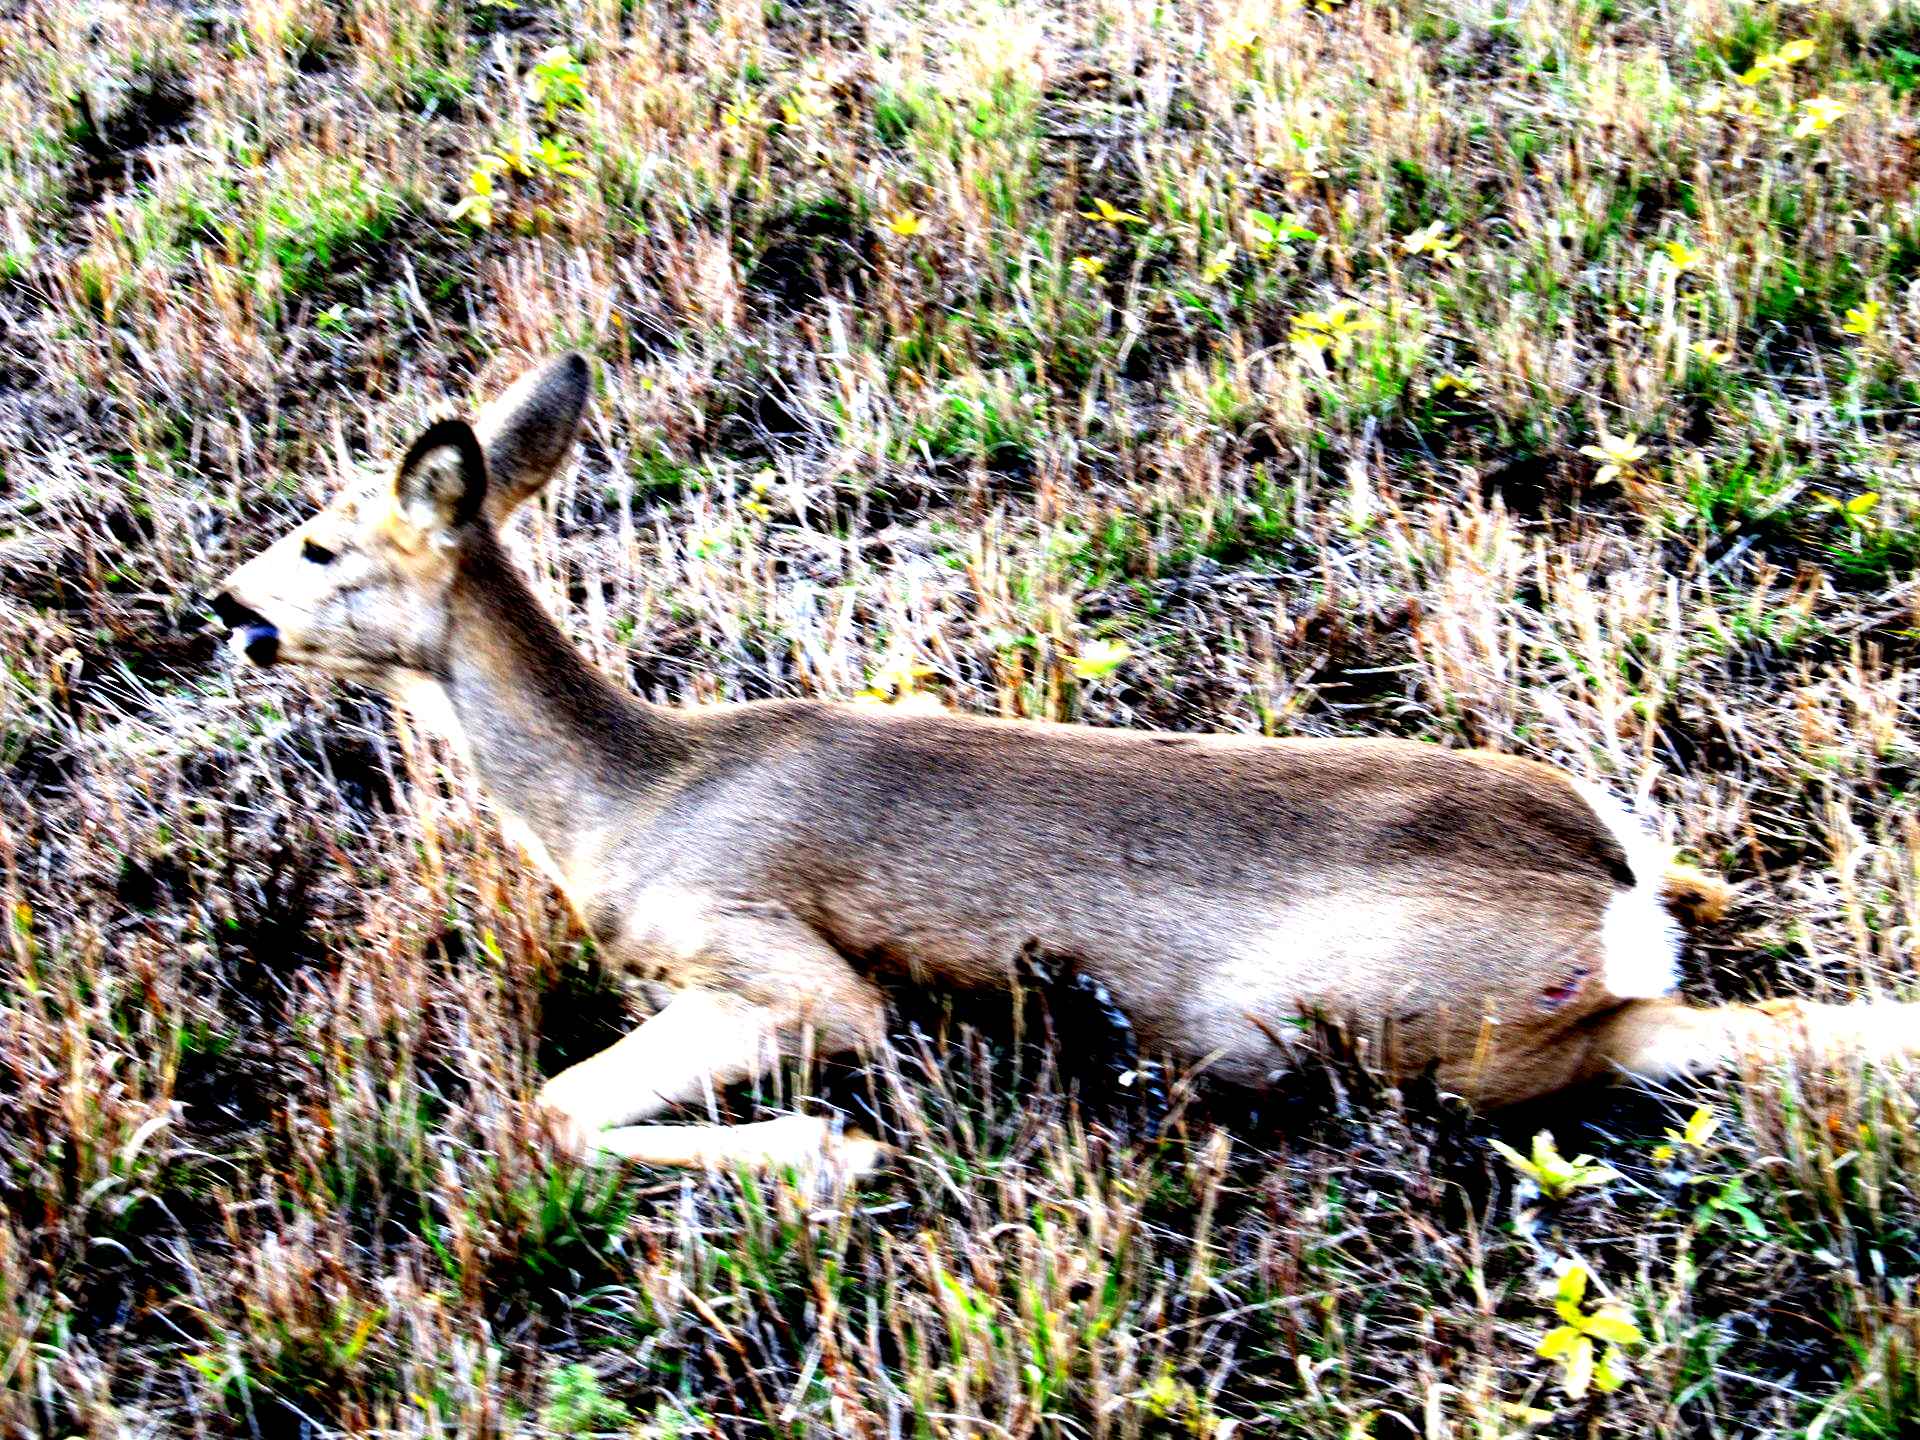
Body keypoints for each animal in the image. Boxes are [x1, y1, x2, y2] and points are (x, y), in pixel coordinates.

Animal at [214, 355, 1920, 1175]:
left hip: (1337, 1017)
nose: (225, 608)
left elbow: (552, 1112)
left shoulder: (778, 962)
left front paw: (827, 1155)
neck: (628, 798)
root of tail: (1614, 894)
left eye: (318, 542)